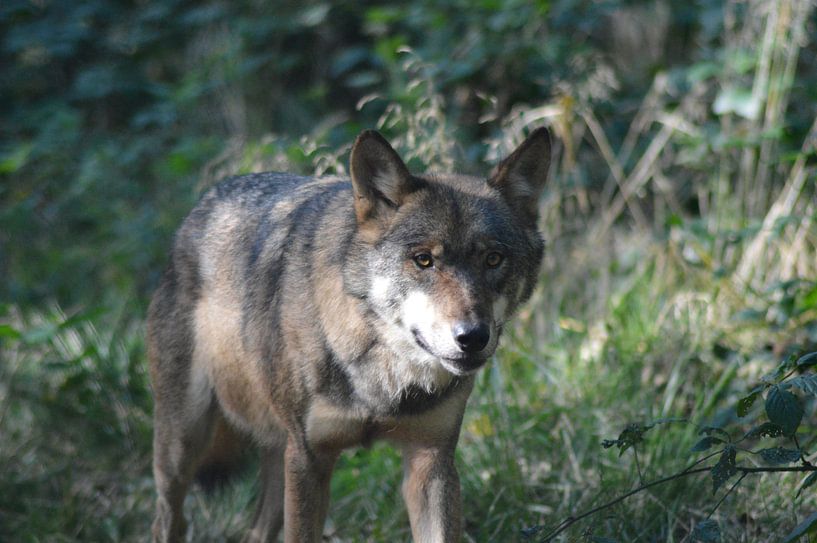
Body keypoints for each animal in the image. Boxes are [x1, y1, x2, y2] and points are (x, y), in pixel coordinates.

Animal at [147, 127, 551, 542]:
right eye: (423, 259)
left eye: (493, 259)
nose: (472, 337)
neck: (381, 368)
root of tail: (203, 204)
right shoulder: (310, 459)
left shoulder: (432, 460)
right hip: (183, 446)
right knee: (169, 519)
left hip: (277, 458)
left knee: (255, 531)